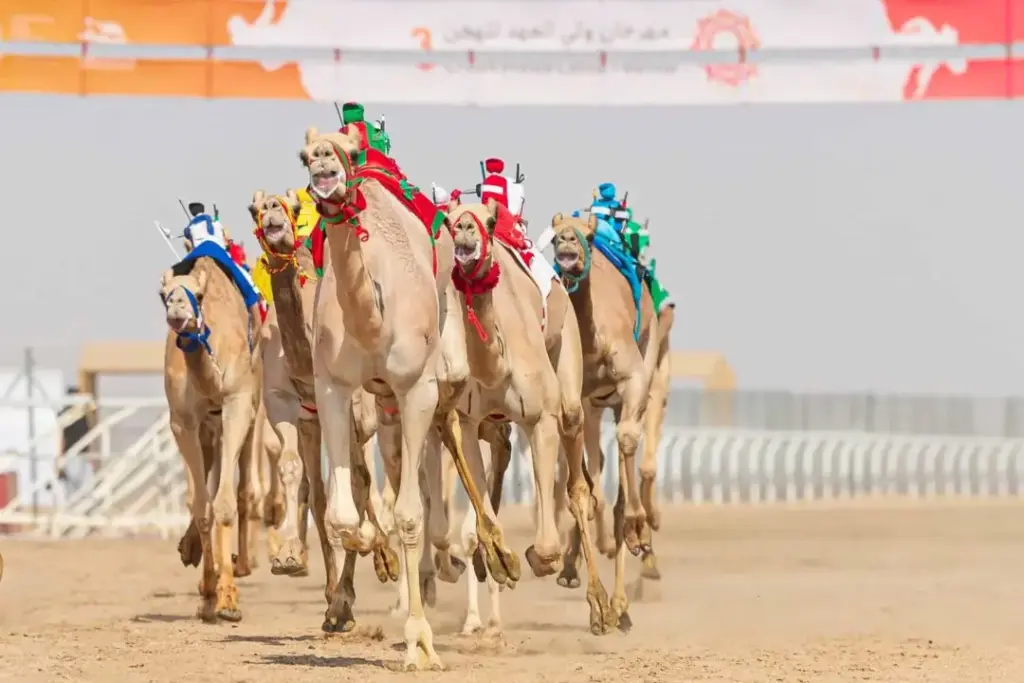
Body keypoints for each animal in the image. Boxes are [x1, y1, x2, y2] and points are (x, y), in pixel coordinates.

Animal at [160, 252, 263, 623]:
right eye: (162, 295)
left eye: (199, 296)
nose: (177, 310)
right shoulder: (183, 421)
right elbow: (203, 506)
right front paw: (207, 594)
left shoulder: (236, 404)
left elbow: (225, 503)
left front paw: (229, 600)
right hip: (208, 430)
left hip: (253, 408)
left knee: (244, 489)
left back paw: (242, 564)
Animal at [249, 190, 392, 631]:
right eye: (254, 208)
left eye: (293, 209)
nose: (273, 216)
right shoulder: (286, 404)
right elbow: (304, 480)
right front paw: (289, 560)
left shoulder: (352, 407)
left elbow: (357, 482)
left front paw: (371, 555)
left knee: (370, 476)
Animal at [300, 124, 484, 669]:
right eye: (303, 154)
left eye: (347, 150)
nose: (324, 160)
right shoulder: (332, 383)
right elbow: (344, 516)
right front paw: (370, 545)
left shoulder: (415, 387)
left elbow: (409, 516)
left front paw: (420, 643)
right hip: (381, 405)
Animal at [445, 198, 618, 635]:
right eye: (449, 221)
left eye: (490, 221)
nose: (466, 231)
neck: (496, 365)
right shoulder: (468, 420)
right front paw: (499, 560)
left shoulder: (541, 419)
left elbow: (547, 545)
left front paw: (534, 560)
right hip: (491, 421)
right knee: (501, 453)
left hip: (568, 366)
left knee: (578, 483)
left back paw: (602, 608)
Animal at [546, 211, 662, 619]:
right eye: (553, 234)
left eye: (590, 236)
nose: (567, 240)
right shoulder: (581, 397)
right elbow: (585, 481)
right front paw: (569, 566)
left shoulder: (633, 379)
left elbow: (626, 441)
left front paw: (637, 529)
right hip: (596, 404)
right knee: (592, 474)